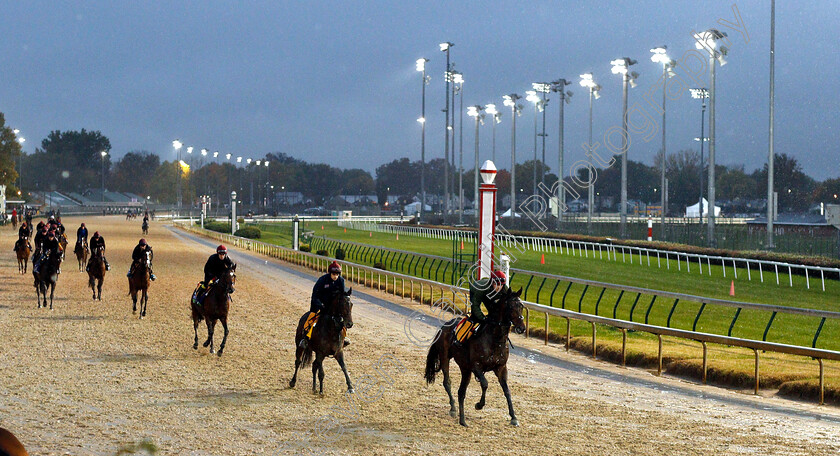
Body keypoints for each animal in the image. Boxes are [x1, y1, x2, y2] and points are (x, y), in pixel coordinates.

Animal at [426, 288, 524, 428]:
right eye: (510, 306)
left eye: (521, 306)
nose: (522, 328)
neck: (495, 338)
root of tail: (444, 326)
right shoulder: (476, 366)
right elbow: (485, 384)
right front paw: (479, 404)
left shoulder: (501, 367)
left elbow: (507, 390)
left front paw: (514, 417)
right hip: (445, 357)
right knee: (447, 382)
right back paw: (453, 408)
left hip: (465, 368)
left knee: (461, 390)